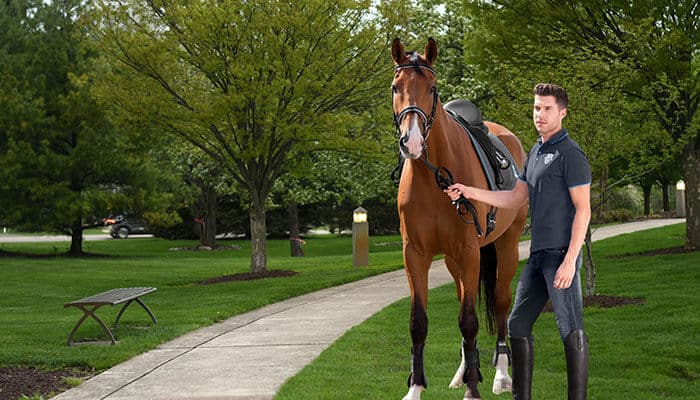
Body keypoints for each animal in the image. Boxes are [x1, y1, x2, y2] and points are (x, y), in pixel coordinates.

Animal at [391, 38, 528, 400]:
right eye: (396, 87)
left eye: (433, 88)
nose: (411, 142)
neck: (434, 178)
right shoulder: (416, 254)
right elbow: (419, 322)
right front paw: (416, 388)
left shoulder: (469, 251)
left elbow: (469, 320)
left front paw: (473, 391)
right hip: (455, 262)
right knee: (463, 301)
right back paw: (466, 370)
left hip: (505, 247)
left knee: (500, 303)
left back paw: (500, 376)